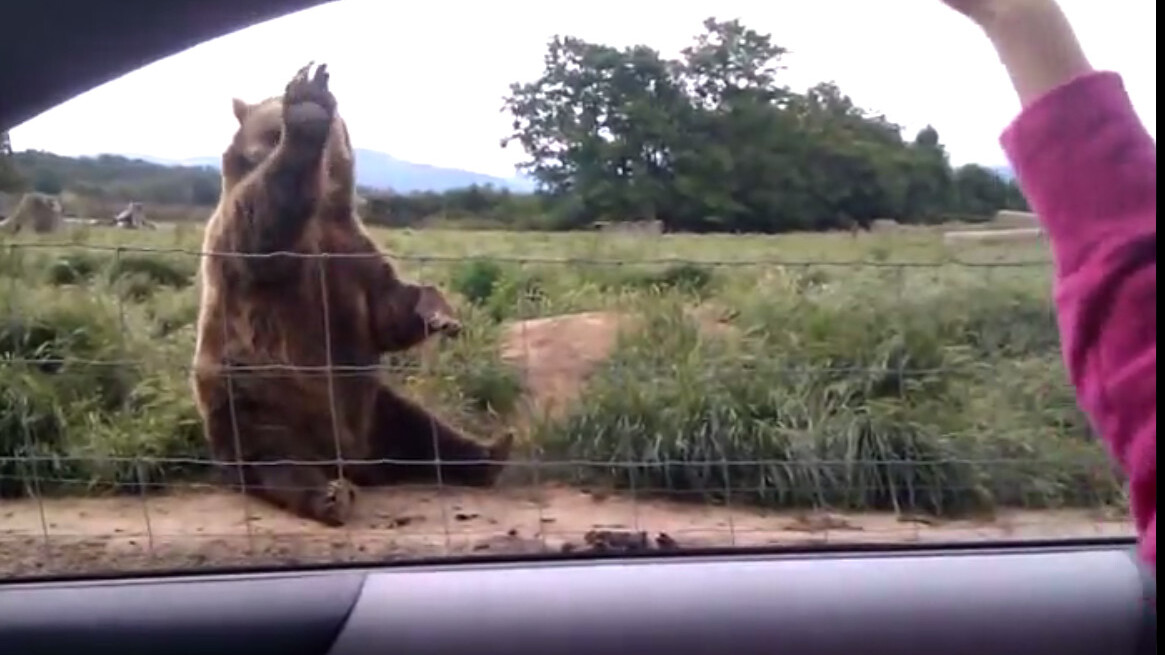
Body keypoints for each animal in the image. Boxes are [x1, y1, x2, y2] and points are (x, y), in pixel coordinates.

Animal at [193, 62, 512, 524]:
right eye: (270, 131)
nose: (264, 147)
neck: (323, 207)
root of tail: (351, 458)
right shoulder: (248, 242)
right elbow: (260, 229)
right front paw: (308, 104)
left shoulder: (353, 249)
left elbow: (387, 311)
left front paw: (439, 312)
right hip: (254, 396)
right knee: (275, 457)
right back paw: (328, 495)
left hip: (373, 406)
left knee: (420, 431)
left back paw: (490, 453)